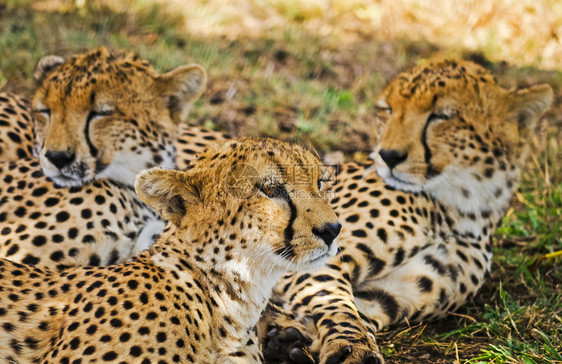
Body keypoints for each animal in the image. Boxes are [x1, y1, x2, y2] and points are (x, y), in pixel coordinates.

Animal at [260, 60, 548, 364]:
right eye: (387, 110)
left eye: (442, 116)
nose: (388, 156)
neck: (459, 210)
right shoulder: (309, 255)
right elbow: (335, 303)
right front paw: (352, 348)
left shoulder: (392, 293)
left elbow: (355, 311)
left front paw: (281, 336)